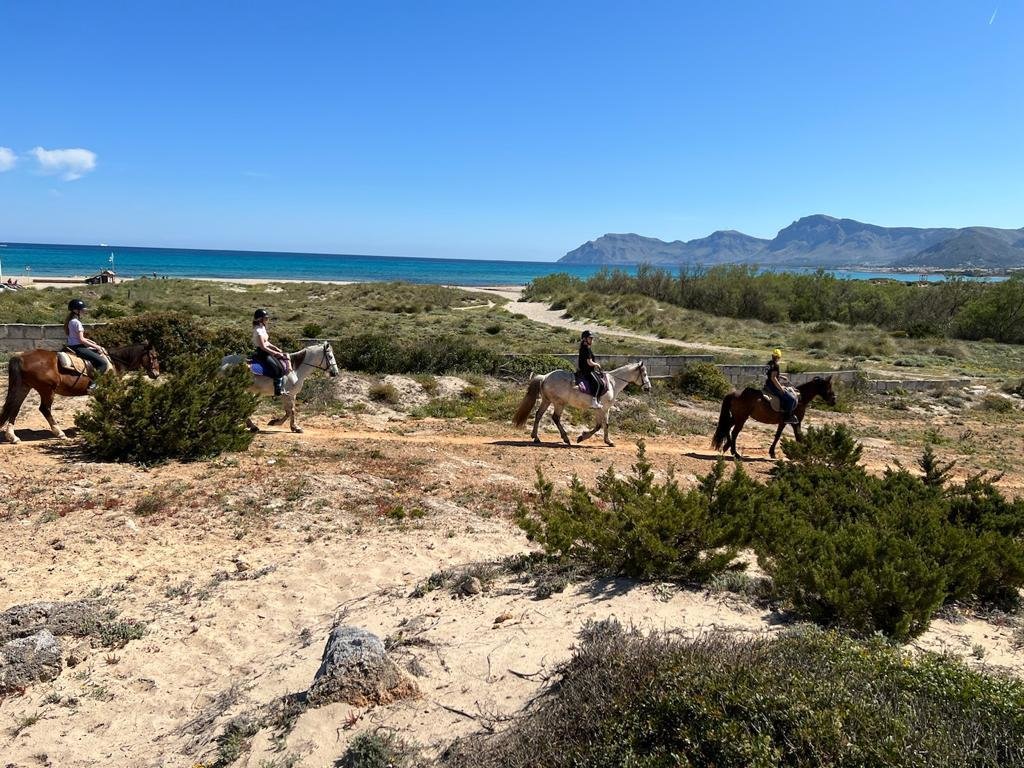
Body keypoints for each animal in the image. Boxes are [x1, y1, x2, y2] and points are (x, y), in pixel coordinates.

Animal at [0, 342, 160, 444]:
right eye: (153, 356)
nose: (156, 374)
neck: (114, 362)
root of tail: (20, 357)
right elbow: (109, 406)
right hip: (47, 390)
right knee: (44, 409)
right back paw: (60, 433)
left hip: (24, 387)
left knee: (15, 407)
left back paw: (12, 437)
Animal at [513, 361, 651, 446]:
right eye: (644, 374)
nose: (648, 388)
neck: (613, 383)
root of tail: (545, 377)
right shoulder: (602, 409)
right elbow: (600, 426)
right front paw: (582, 437)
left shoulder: (604, 409)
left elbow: (604, 425)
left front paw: (608, 441)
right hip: (559, 403)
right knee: (555, 418)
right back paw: (566, 438)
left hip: (547, 400)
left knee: (538, 415)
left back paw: (536, 437)